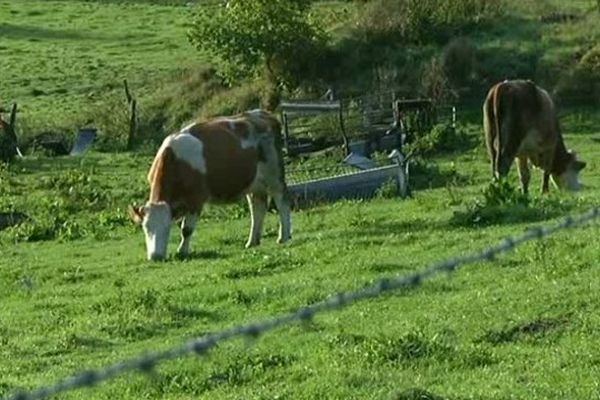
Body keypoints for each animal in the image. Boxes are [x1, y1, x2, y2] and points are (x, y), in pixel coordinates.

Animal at [127, 108, 292, 260]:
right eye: (145, 228)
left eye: (167, 227)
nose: (155, 256)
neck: (176, 161)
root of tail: (263, 114)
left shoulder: (196, 199)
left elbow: (186, 229)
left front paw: (182, 251)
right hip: (253, 184)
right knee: (257, 208)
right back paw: (252, 241)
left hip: (274, 175)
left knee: (282, 202)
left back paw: (283, 237)